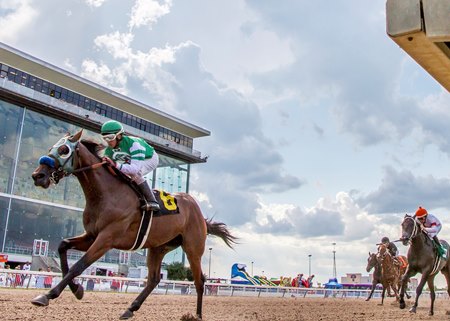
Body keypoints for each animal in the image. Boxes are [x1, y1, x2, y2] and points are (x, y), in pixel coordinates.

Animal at [29, 129, 237, 318]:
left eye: (64, 150)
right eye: (50, 148)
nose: (38, 176)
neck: (106, 194)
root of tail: (197, 211)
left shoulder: (106, 239)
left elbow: (79, 266)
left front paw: (48, 295)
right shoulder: (91, 236)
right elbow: (63, 246)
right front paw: (77, 290)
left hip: (193, 248)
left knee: (199, 280)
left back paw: (198, 315)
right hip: (158, 247)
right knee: (153, 279)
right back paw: (130, 309)